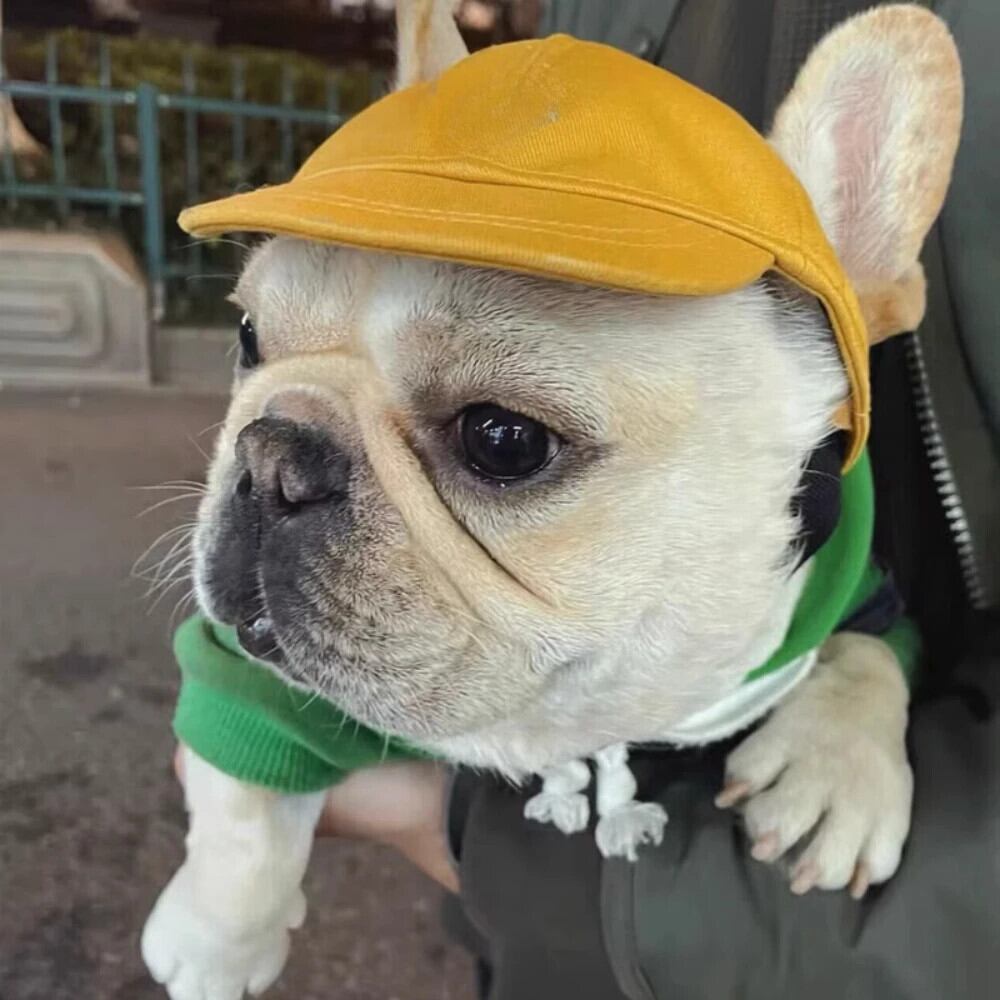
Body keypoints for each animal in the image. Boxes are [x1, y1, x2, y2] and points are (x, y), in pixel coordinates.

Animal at [141, 2, 962, 997]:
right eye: (248, 339)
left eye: (504, 439)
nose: (269, 456)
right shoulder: (243, 666)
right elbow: (243, 795)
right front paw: (215, 938)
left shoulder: (853, 588)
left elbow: (869, 652)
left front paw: (837, 772)